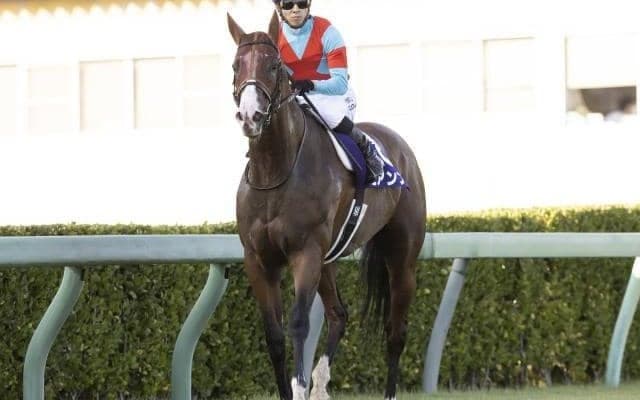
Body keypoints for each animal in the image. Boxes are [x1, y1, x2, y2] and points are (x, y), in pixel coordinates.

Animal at [227, 11, 426, 400]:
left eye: (274, 65)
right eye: (235, 65)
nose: (251, 116)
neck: (276, 171)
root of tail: (401, 147)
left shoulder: (305, 253)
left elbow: (299, 324)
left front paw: (299, 385)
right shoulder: (258, 259)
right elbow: (274, 336)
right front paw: (298, 386)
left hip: (402, 260)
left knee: (396, 333)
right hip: (329, 260)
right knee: (338, 314)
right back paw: (320, 382)